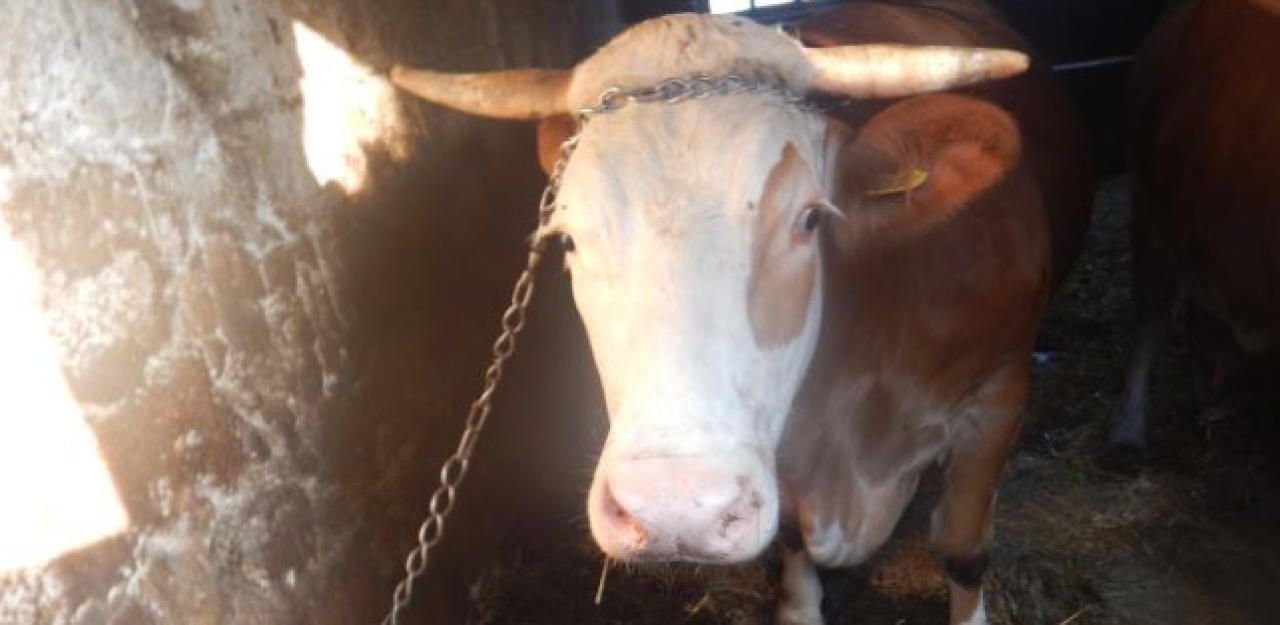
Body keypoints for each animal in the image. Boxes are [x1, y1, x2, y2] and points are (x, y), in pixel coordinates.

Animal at [391, 2, 1091, 624]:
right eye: (567, 238)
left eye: (809, 219)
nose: (676, 510)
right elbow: (795, 539)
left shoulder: (999, 397)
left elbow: (963, 548)